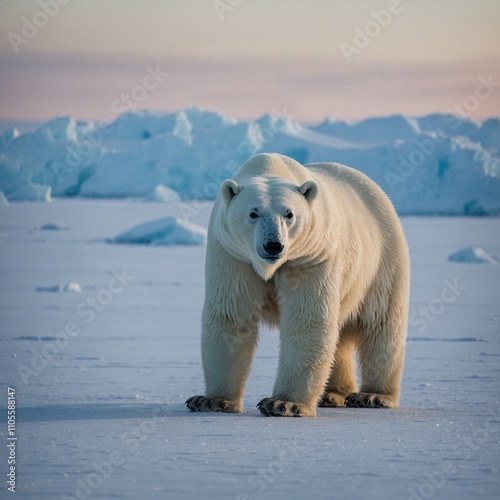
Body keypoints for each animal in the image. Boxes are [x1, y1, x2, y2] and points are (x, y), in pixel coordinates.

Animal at [188, 153, 410, 418]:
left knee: (381, 325)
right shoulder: (233, 254)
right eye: (253, 213)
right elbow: (232, 316)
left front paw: (283, 404)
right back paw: (333, 394)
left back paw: (373, 396)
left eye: (289, 214)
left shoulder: (311, 256)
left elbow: (307, 319)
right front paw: (212, 400)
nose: (274, 245)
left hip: (381, 262)